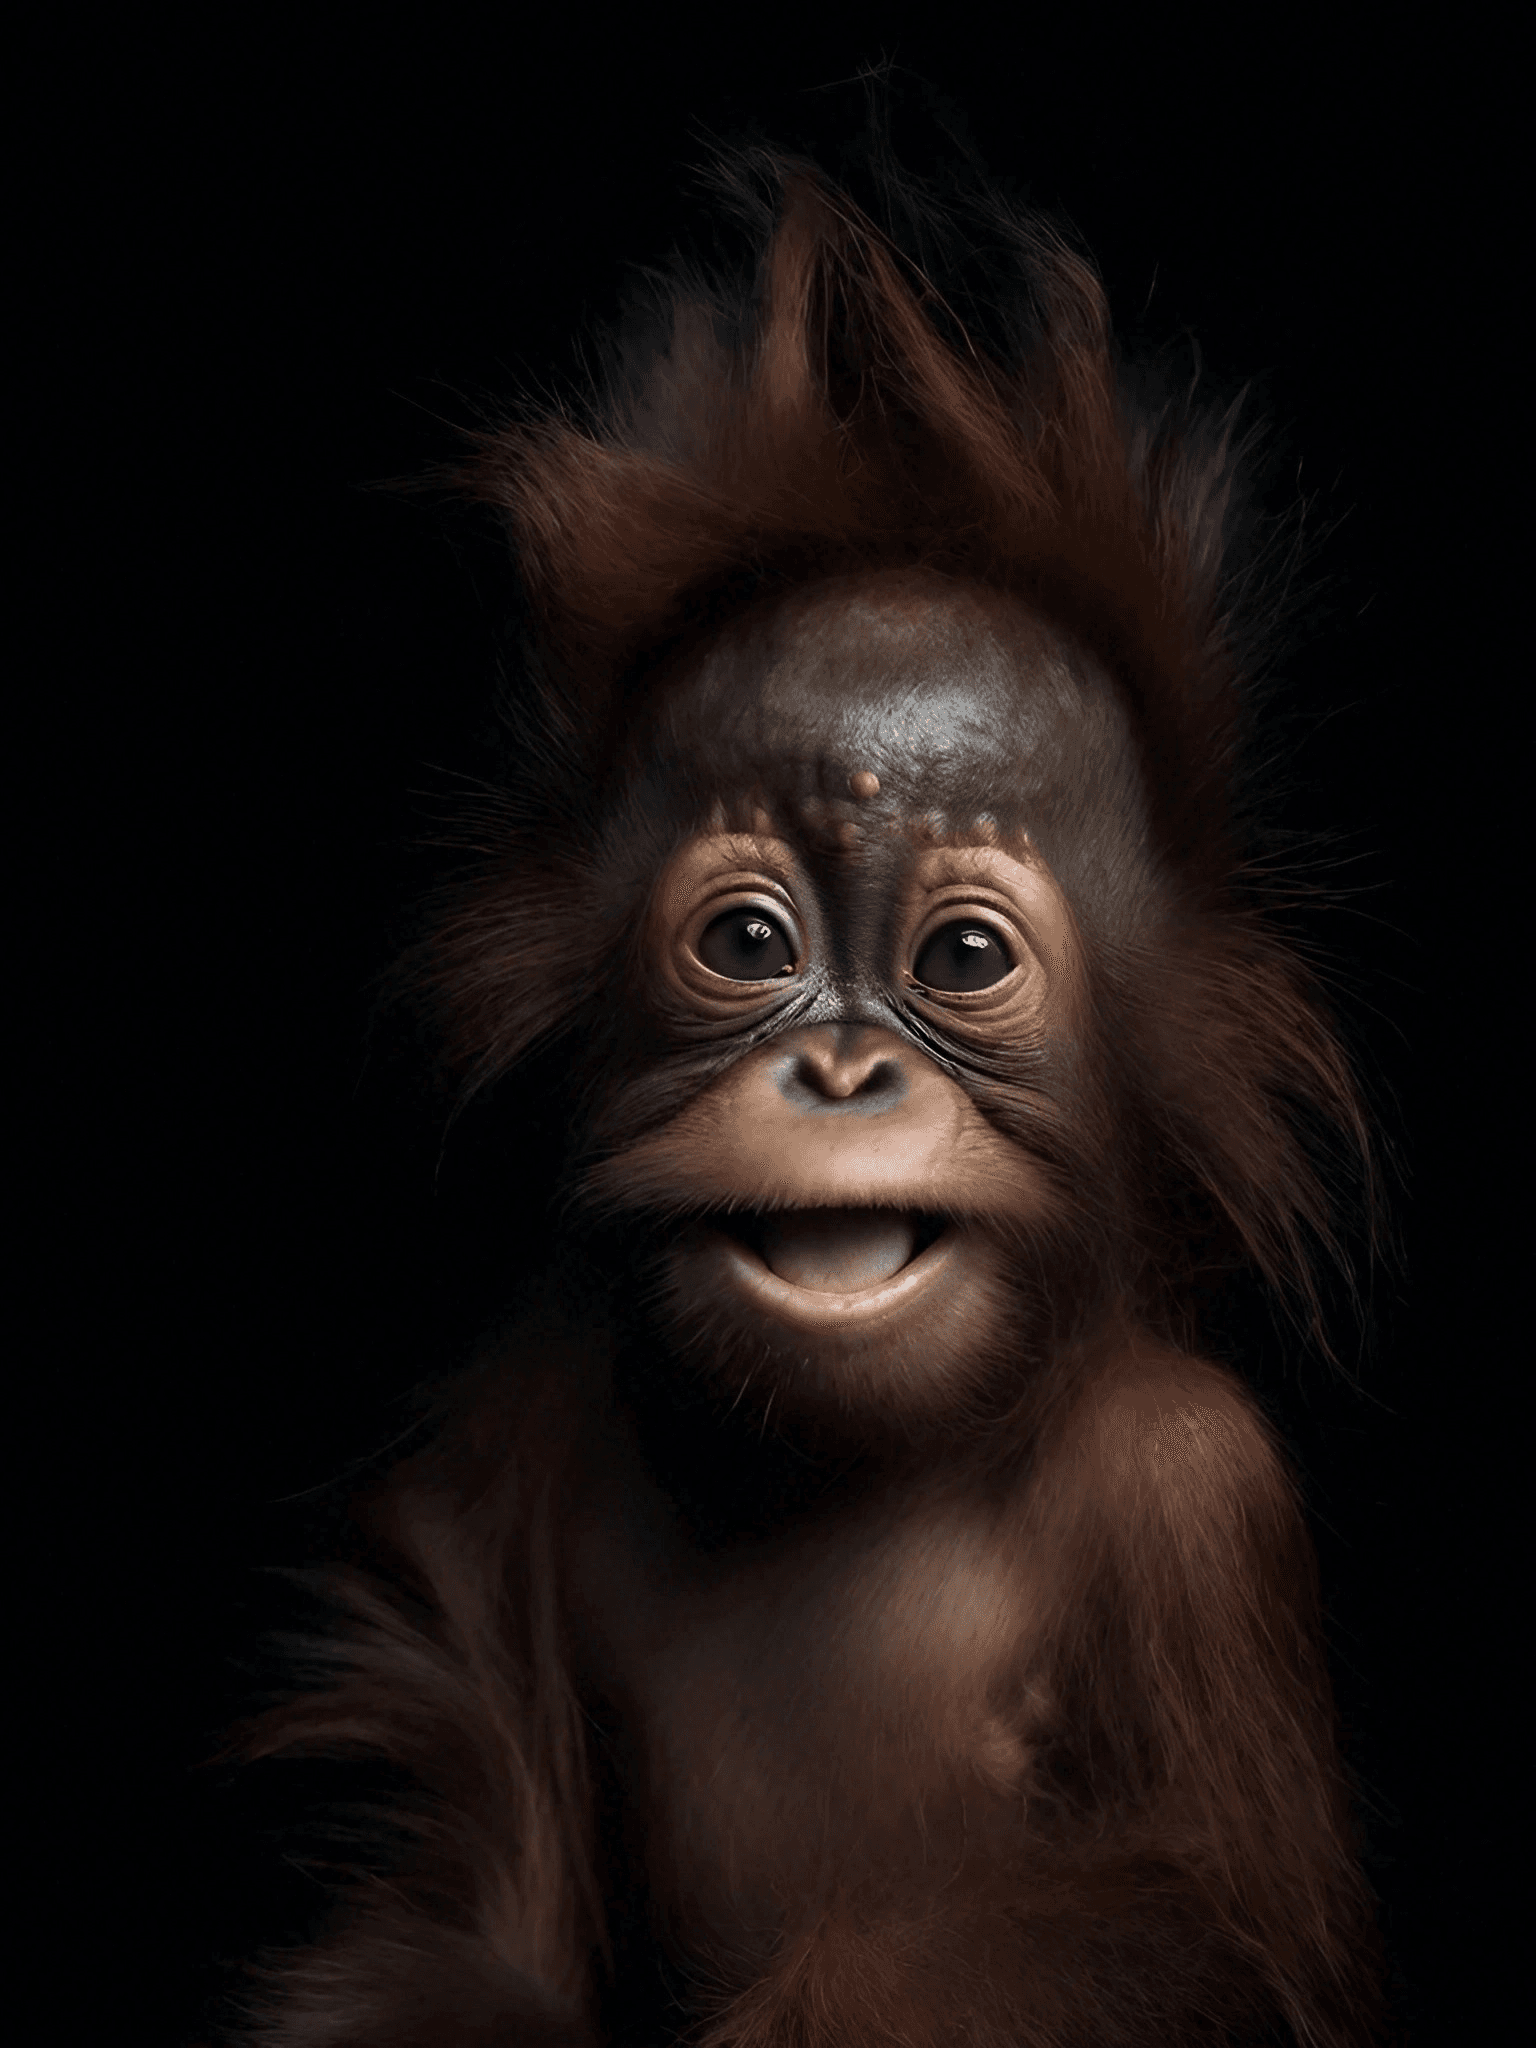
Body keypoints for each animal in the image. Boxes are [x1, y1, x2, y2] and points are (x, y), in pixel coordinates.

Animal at [230, 150, 1385, 2047]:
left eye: (965, 956)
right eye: (748, 940)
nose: (842, 1069)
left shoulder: (1193, 1493)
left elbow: (1222, 1920)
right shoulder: (530, 1409)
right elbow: (471, 1834)